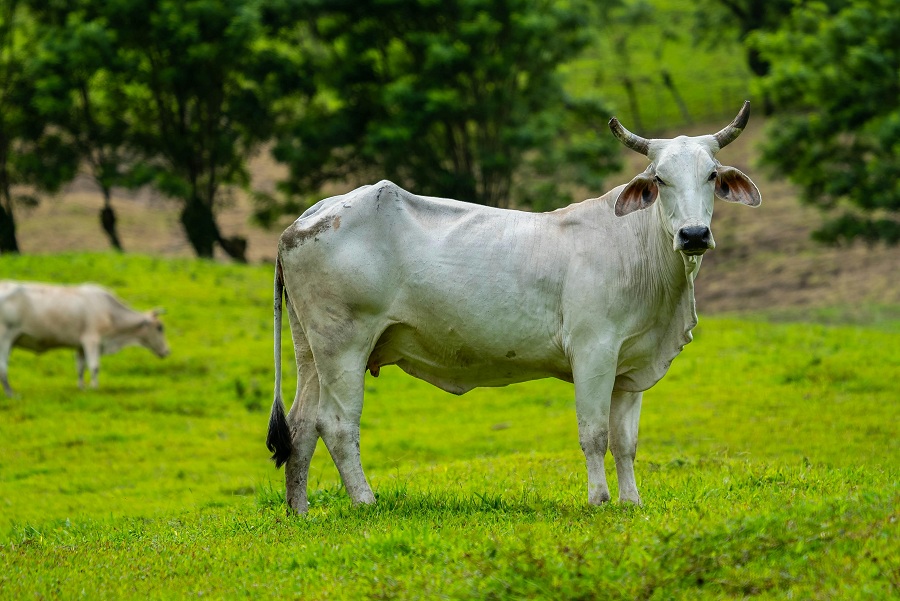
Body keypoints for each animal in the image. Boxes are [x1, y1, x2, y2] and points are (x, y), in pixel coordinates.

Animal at [0, 282, 171, 394]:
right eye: (159, 327)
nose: (168, 351)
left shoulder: (80, 345)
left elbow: (81, 367)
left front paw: (81, 387)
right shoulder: (92, 340)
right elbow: (94, 366)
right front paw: (94, 388)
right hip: (5, 338)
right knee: (3, 366)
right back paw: (11, 394)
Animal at [268, 99, 760, 510]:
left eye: (712, 175)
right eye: (659, 178)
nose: (693, 235)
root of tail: (307, 217)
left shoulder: (630, 366)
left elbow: (626, 442)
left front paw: (631, 502)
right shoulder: (593, 351)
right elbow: (595, 434)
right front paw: (600, 500)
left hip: (311, 350)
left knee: (301, 425)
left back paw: (300, 510)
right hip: (344, 346)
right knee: (336, 424)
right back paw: (365, 502)